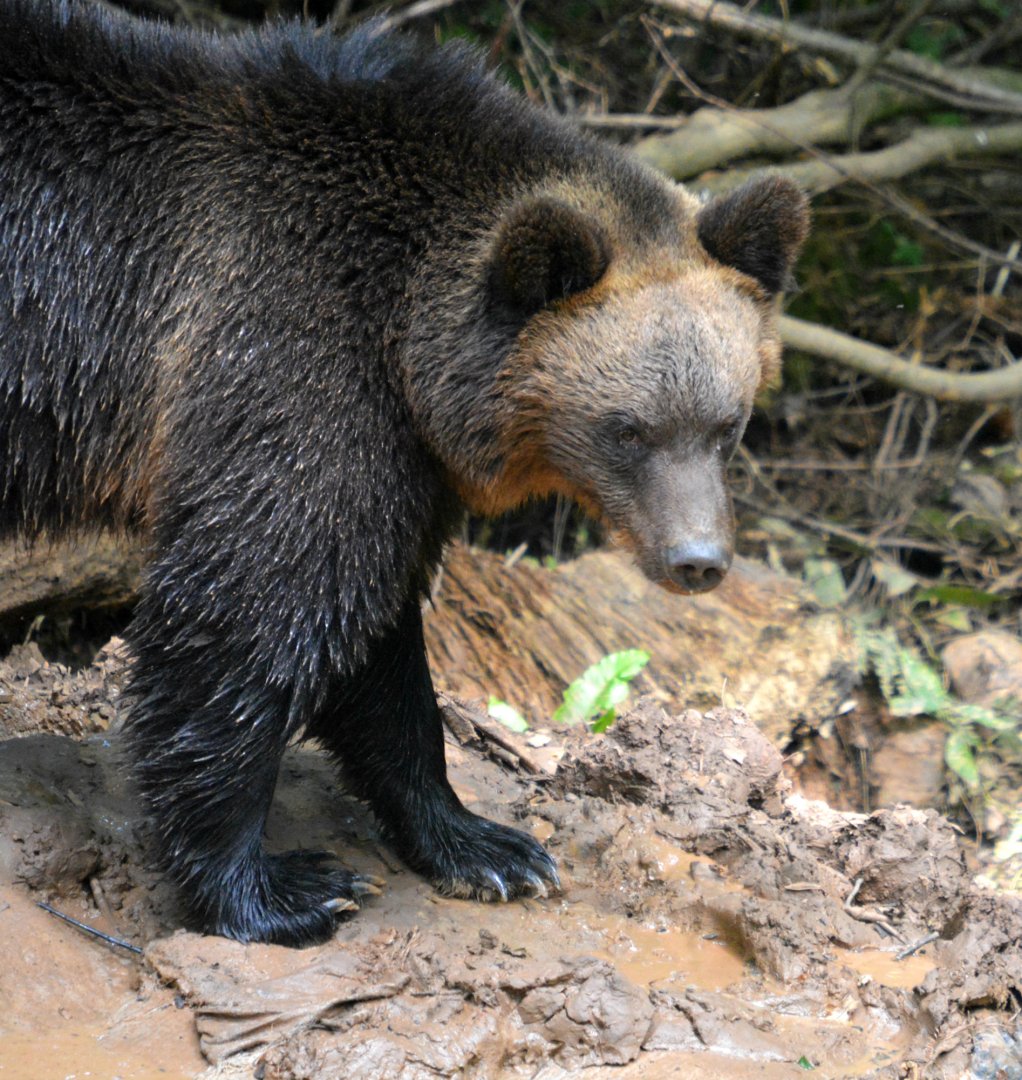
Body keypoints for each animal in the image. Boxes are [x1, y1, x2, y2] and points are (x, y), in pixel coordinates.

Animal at [0, 0, 809, 945]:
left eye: (728, 423)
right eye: (628, 430)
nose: (698, 561)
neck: (408, 337)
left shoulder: (404, 455)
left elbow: (377, 646)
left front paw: (488, 846)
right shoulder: (286, 353)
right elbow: (254, 607)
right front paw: (278, 888)